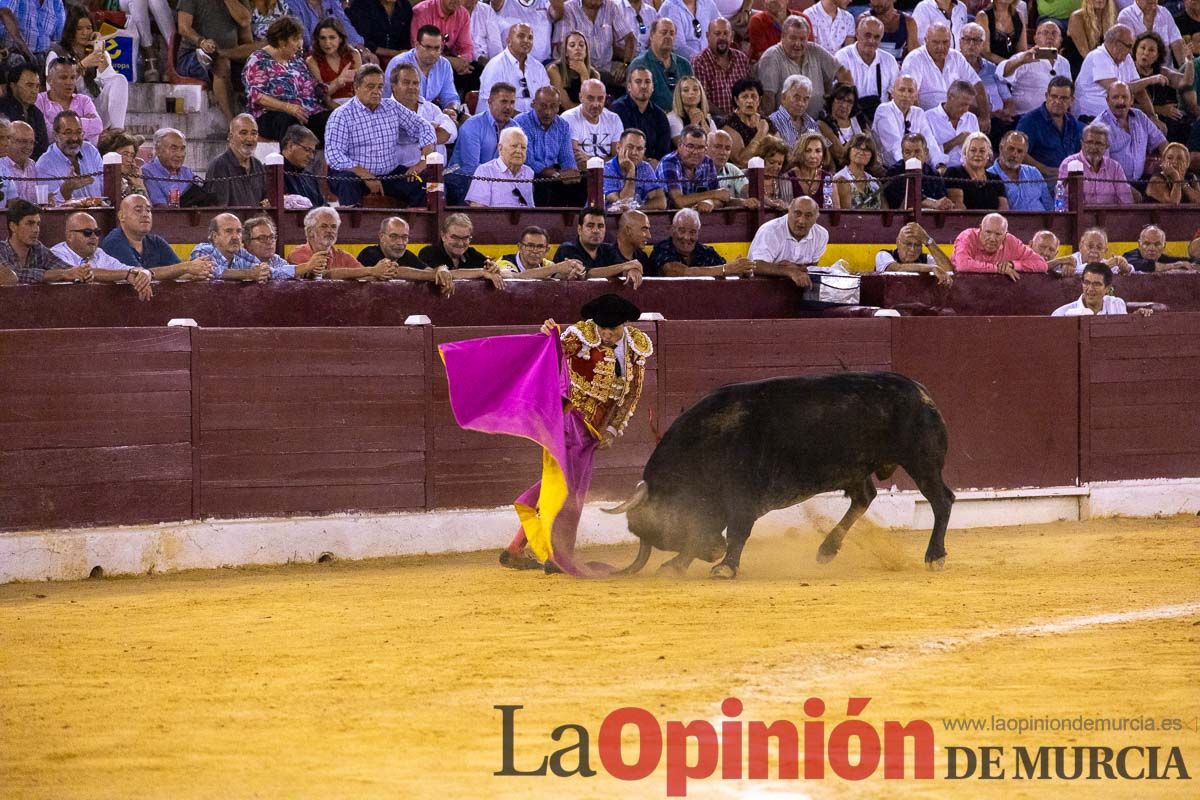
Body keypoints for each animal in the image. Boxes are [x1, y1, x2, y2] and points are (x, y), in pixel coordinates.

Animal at [609, 371, 955, 578]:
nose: (715, 551)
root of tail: (920, 391)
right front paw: (676, 565)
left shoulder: (742, 500)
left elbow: (735, 532)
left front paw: (725, 567)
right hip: (854, 469)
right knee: (864, 497)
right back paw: (826, 550)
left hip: (921, 462)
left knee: (942, 501)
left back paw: (934, 555)